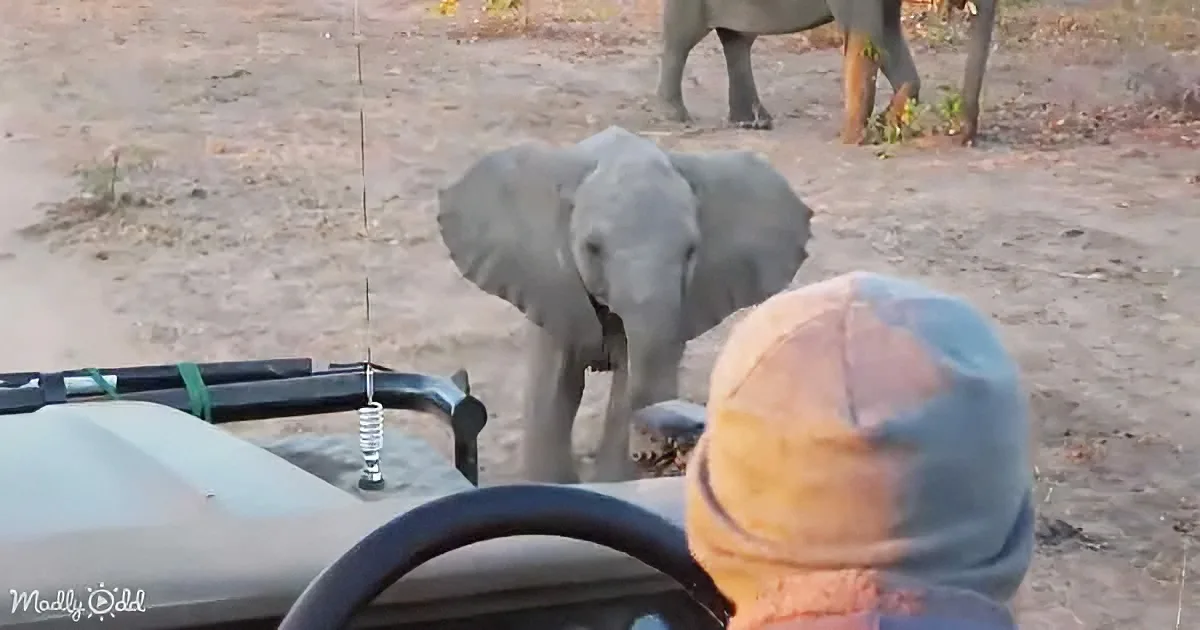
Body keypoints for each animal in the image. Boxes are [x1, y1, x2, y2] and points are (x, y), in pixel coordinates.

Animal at [436, 126, 813, 483]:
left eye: (691, 251)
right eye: (592, 248)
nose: (655, 448)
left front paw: (613, 482)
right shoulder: (551, 285)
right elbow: (557, 386)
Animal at [656, 0, 997, 144]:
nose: (960, 137)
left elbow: (887, 31)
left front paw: (886, 126)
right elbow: (867, 35)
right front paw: (855, 137)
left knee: (737, 39)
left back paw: (754, 122)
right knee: (683, 37)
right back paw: (676, 116)